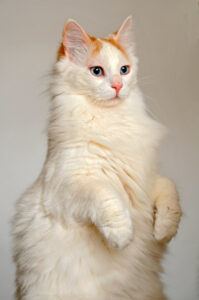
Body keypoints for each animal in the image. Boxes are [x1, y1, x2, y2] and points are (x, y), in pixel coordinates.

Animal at [12, 16, 182, 300]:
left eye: (124, 70)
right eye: (96, 72)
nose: (117, 86)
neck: (112, 121)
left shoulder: (146, 180)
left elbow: (170, 191)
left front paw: (164, 230)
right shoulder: (70, 187)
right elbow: (107, 198)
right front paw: (122, 235)